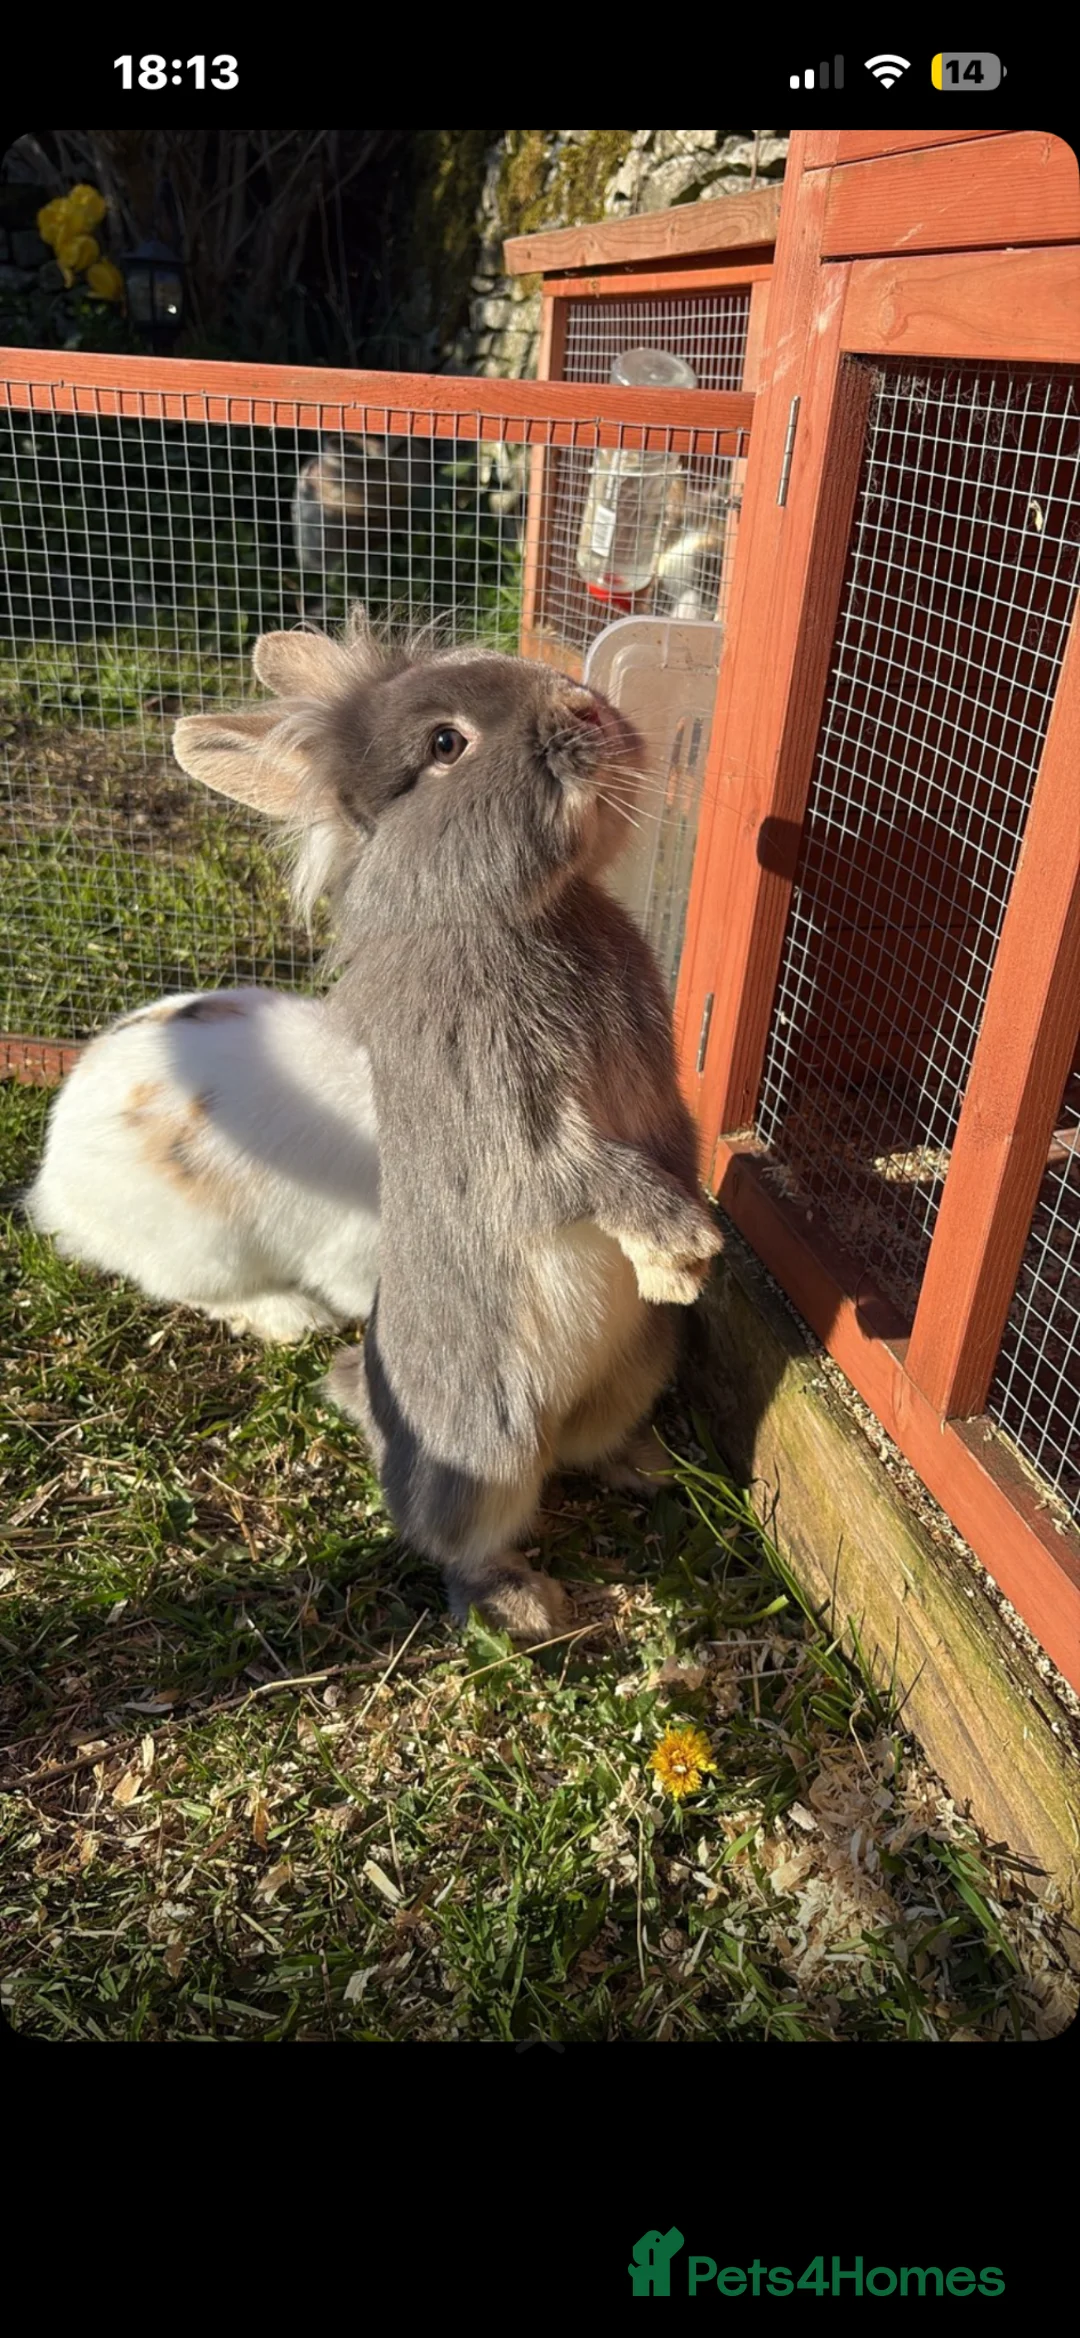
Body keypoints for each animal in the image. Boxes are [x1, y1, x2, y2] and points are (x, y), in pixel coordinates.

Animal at [171, 612, 722, 1642]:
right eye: (443, 745)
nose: (586, 709)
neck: (508, 913)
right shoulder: (510, 1121)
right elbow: (584, 1175)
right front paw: (681, 1245)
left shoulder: (663, 1110)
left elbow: (671, 1153)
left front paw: (691, 1260)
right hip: (486, 1449)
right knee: (455, 1539)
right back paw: (524, 1603)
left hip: (637, 1370)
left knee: (589, 1448)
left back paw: (645, 1468)